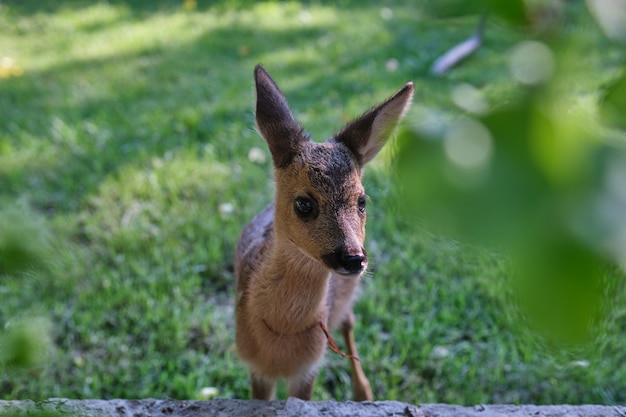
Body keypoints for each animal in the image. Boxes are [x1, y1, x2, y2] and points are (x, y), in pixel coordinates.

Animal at [232, 64, 412, 400]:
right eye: (304, 203)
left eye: (362, 201)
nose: (354, 258)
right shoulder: (254, 367)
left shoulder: (309, 368)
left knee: (348, 322)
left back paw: (363, 392)